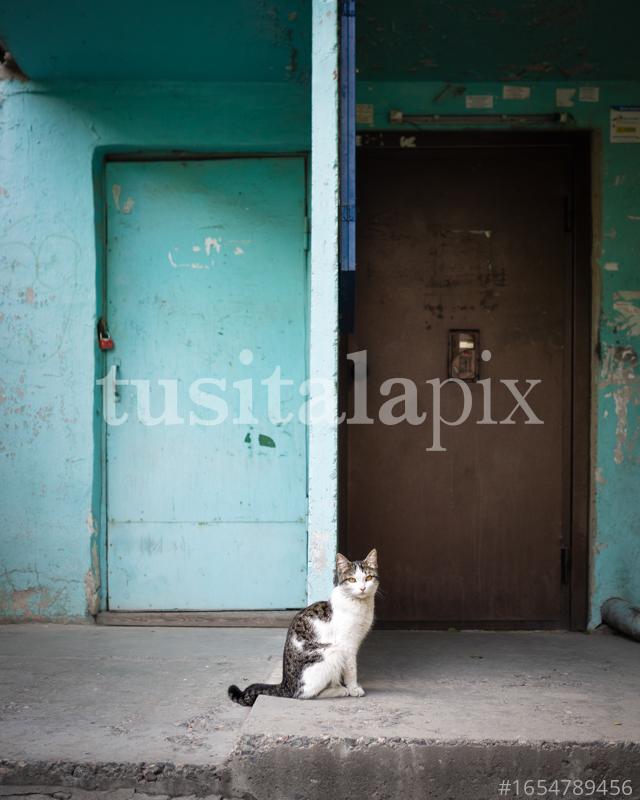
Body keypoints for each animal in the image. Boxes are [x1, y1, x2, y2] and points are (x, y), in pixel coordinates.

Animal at [229, 552, 378, 708]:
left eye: (368, 578)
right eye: (352, 579)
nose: (362, 588)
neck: (361, 605)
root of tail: (285, 684)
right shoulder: (347, 645)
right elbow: (351, 669)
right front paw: (353, 688)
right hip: (332, 652)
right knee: (303, 694)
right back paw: (340, 690)